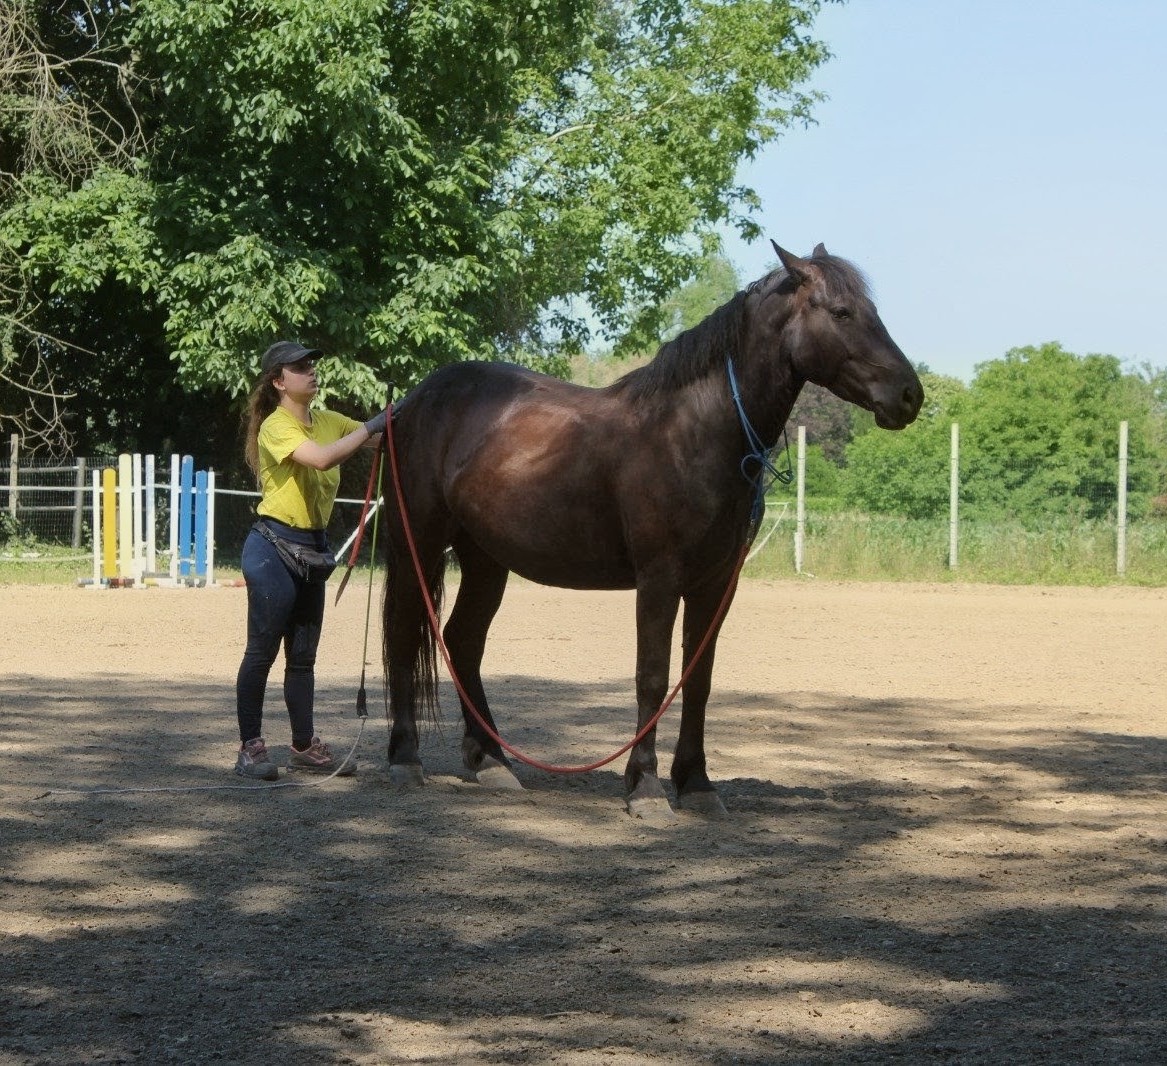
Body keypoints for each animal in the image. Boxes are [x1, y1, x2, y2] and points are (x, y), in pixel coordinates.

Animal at [380, 241, 923, 818]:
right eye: (841, 312)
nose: (910, 394)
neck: (694, 432)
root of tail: (413, 400)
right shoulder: (659, 580)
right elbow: (653, 676)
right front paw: (645, 787)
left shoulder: (715, 584)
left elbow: (698, 679)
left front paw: (698, 785)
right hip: (419, 543)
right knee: (403, 633)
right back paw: (406, 759)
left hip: (485, 560)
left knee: (462, 642)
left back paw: (492, 762)